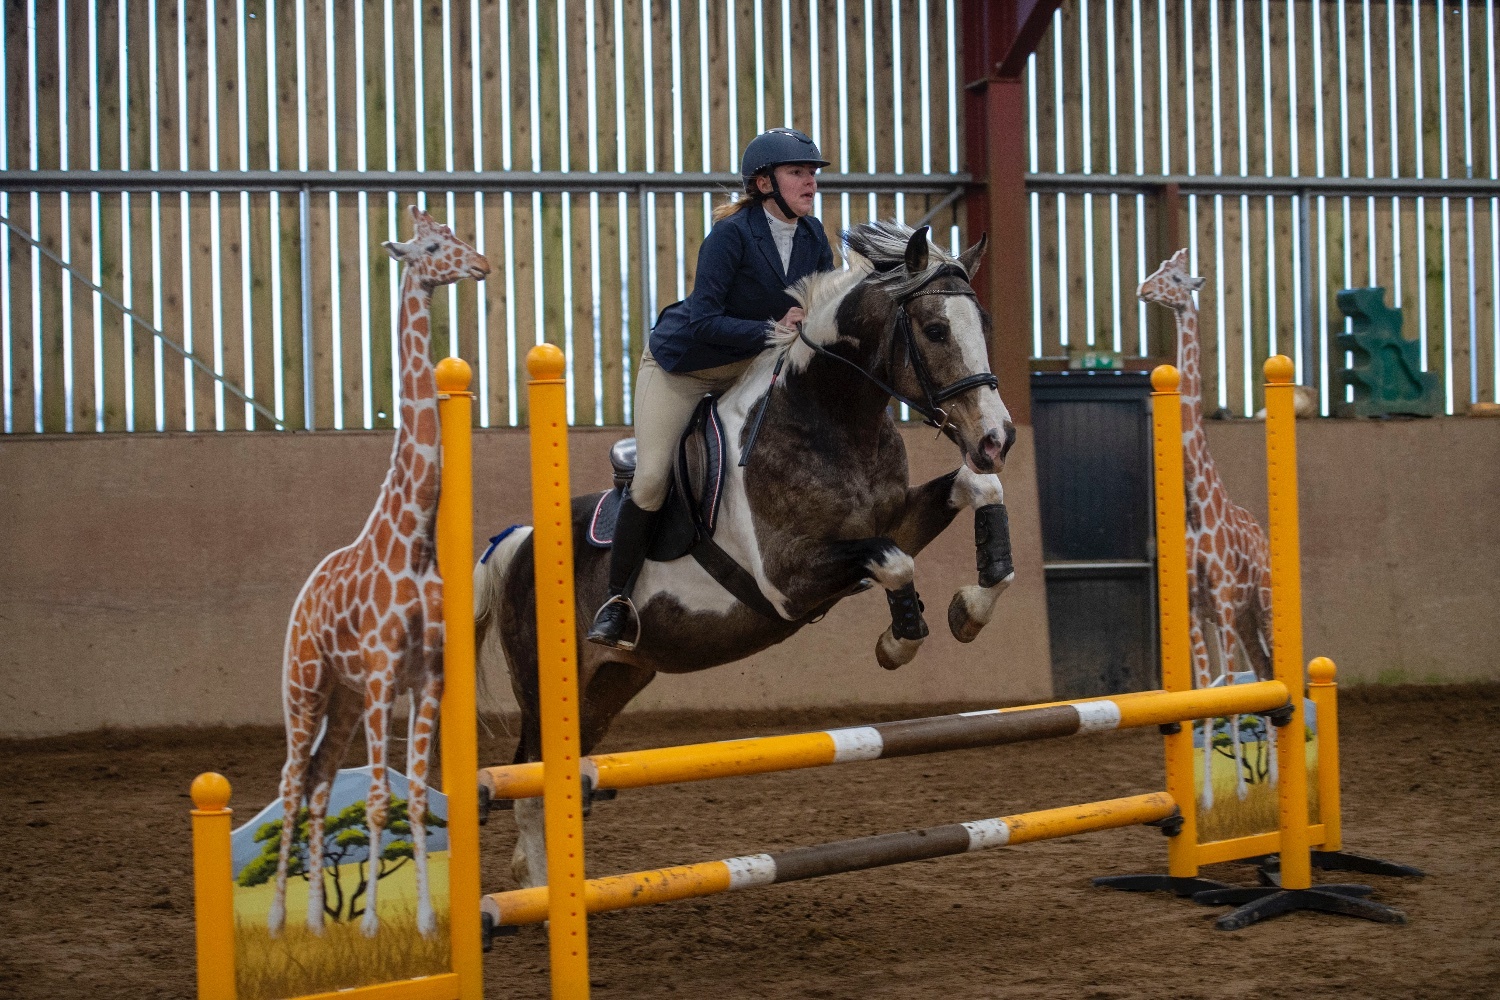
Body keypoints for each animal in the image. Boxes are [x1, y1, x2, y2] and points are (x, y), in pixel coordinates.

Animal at [475, 221, 1017, 887]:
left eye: (983, 325)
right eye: (936, 330)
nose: (997, 439)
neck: (831, 418)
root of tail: (520, 542)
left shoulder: (897, 521)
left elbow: (975, 493)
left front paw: (970, 609)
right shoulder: (788, 580)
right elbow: (894, 561)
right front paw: (900, 641)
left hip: (611, 684)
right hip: (549, 687)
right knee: (529, 786)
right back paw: (541, 891)